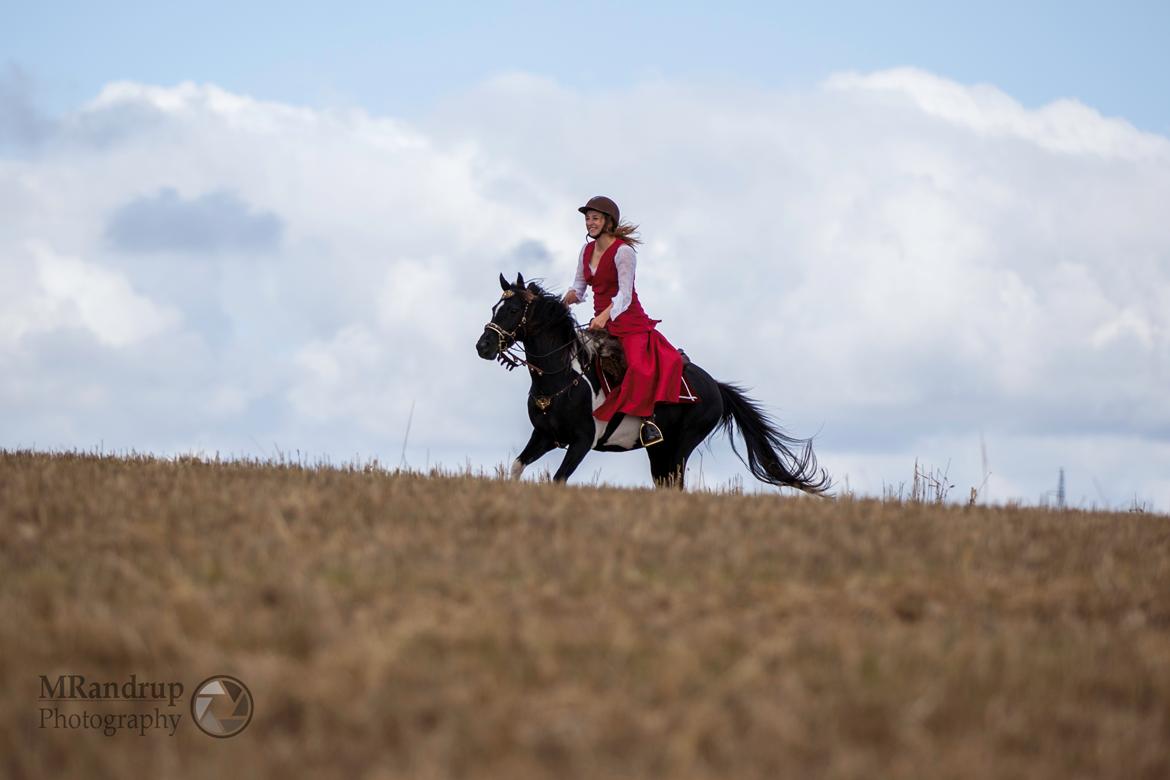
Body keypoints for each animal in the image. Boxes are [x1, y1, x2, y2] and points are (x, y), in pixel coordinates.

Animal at [475, 274, 833, 493]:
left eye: (514, 309)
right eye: (495, 307)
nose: (484, 346)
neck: (562, 378)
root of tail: (715, 386)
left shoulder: (581, 442)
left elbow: (558, 479)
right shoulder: (545, 436)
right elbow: (516, 467)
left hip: (680, 446)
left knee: (674, 484)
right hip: (660, 450)